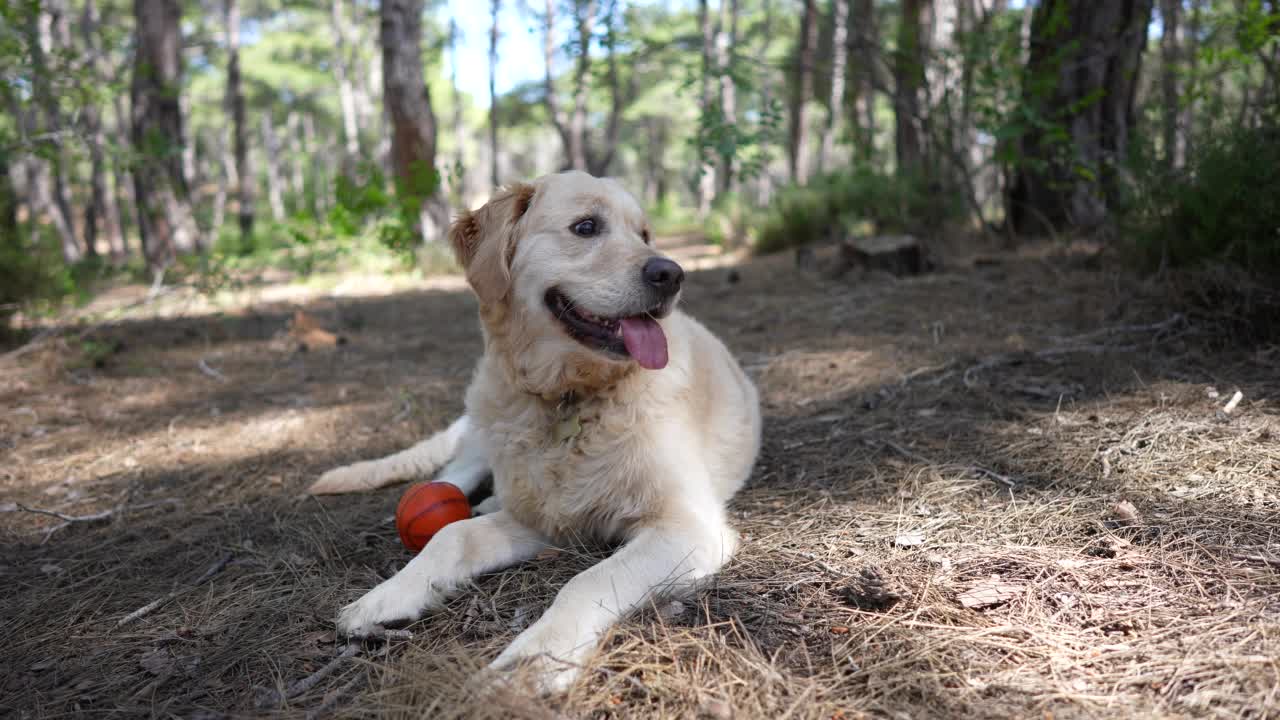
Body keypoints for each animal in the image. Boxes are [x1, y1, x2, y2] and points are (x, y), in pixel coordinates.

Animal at [311, 170, 762, 691]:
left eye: (645, 235)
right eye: (586, 227)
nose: (671, 274)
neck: (569, 397)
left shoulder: (686, 525)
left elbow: (585, 580)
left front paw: (537, 657)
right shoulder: (545, 518)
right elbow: (452, 536)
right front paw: (387, 596)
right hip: (478, 437)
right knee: (446, 484)